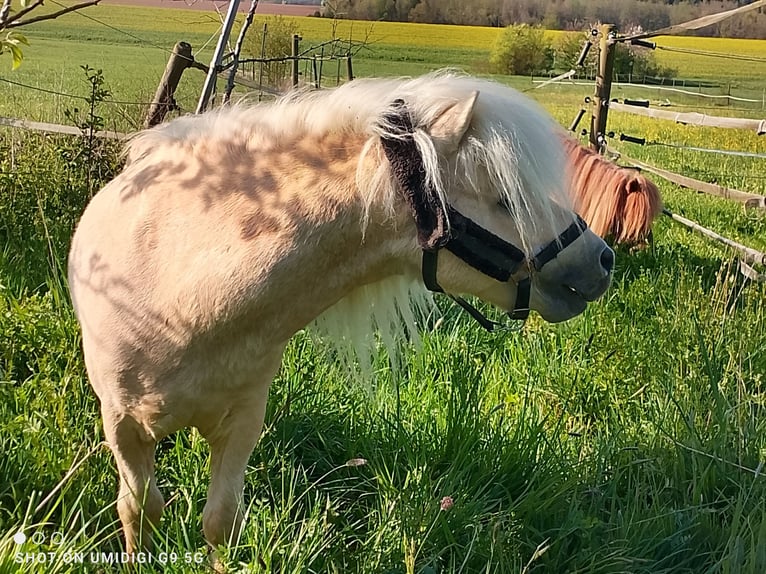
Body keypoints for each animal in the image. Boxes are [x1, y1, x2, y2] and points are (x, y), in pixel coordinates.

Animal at [68, 71, 614, 556]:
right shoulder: (122, 426)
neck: (182, 301)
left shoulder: (241, 422)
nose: (602, 260)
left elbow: (220, 520)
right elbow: (139, 509)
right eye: (504, 200)